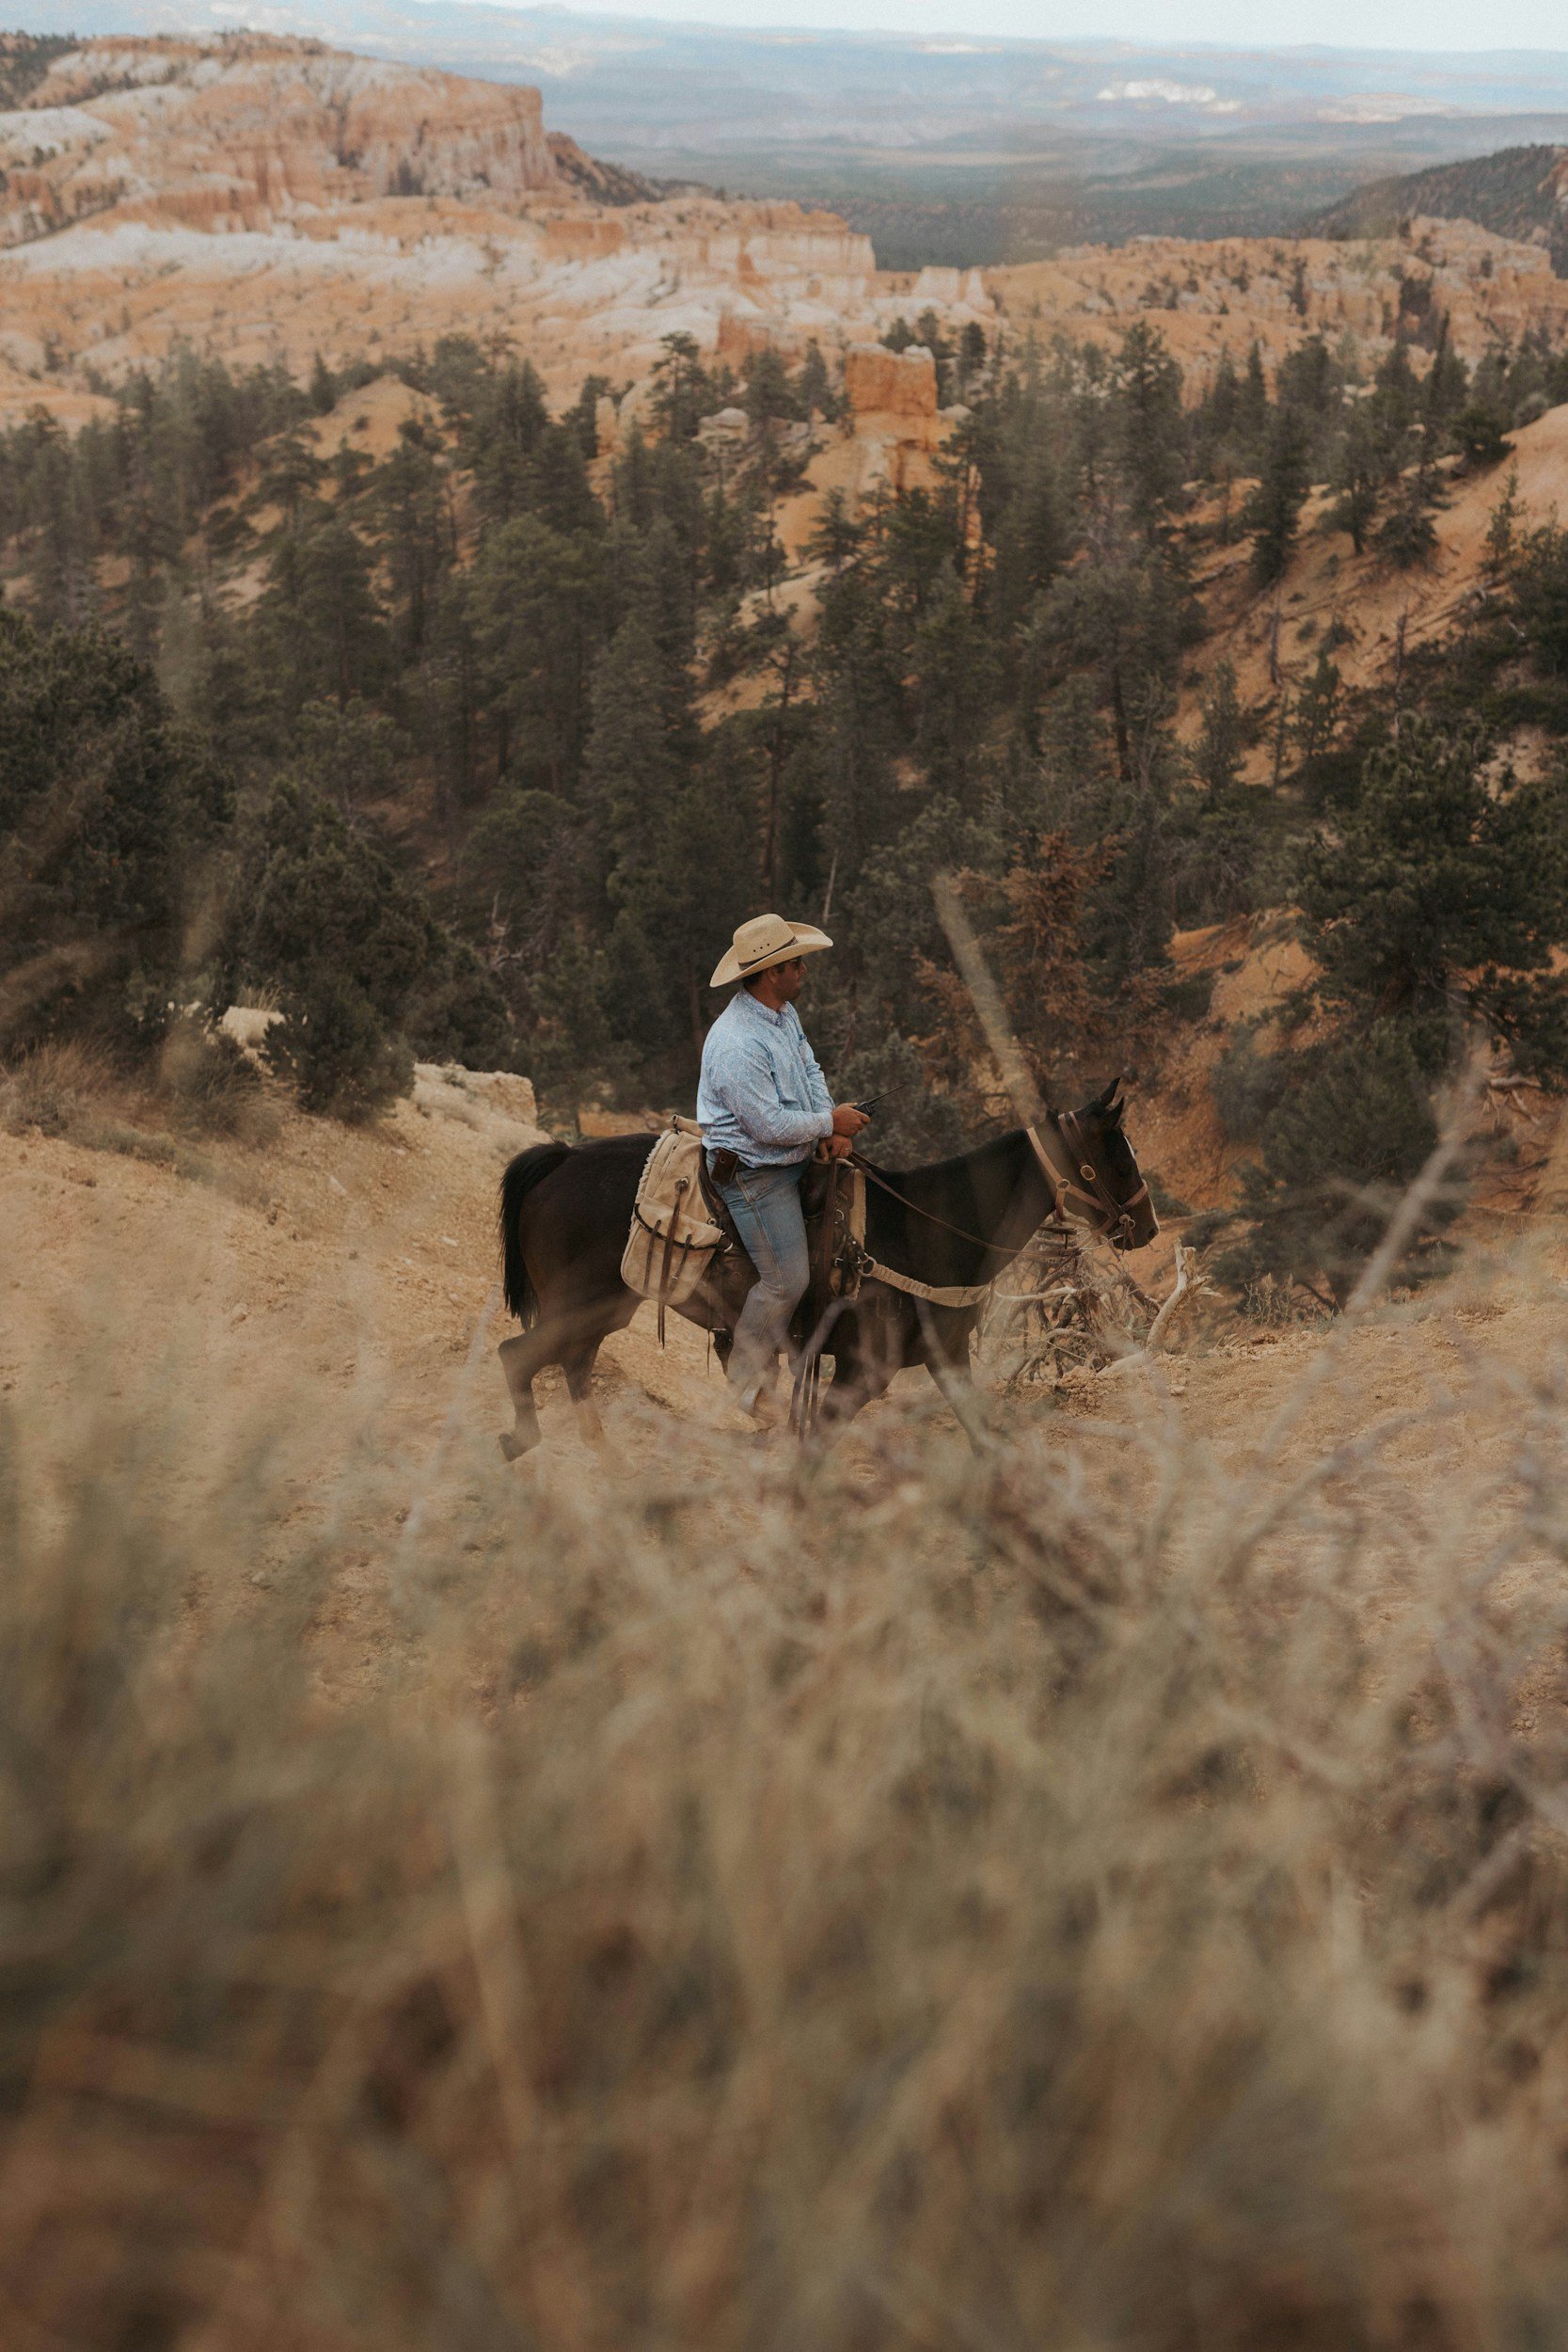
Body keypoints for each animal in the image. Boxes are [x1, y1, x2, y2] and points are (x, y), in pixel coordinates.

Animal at [495, 1078, 1158, 1457]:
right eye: (1120, 1157)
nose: (1148, 1225)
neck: (927, 1226)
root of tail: (560, 1160)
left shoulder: (945, 1358)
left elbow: (982, 1434)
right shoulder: (863, 1369)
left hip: (604, 1309)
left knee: (573, 1364)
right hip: (579, 1305)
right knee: (519, 1356)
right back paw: (521, 1444)